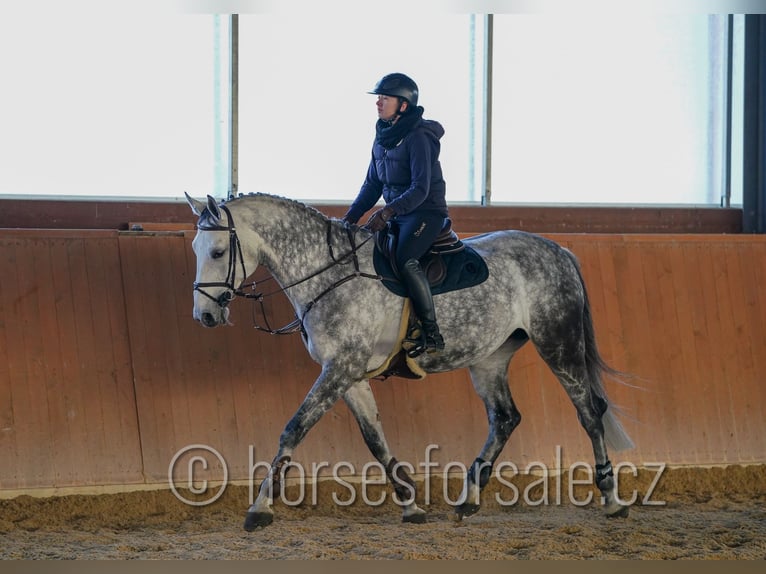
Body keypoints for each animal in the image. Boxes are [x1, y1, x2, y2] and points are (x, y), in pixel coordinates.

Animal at [184, 192, 635, 531]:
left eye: (219, 251)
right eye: (195, 249)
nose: (204, 315)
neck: (328, 274)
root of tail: (557, 250)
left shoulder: (340, 368)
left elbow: (294, 428)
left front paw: (260, 508)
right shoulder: (350, 374)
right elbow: (375, 439)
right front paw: (410, 505)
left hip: (559, 343)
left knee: (589, 412)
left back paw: (612, 499)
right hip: (490, 357)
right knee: (505, 418)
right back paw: (468, 499)